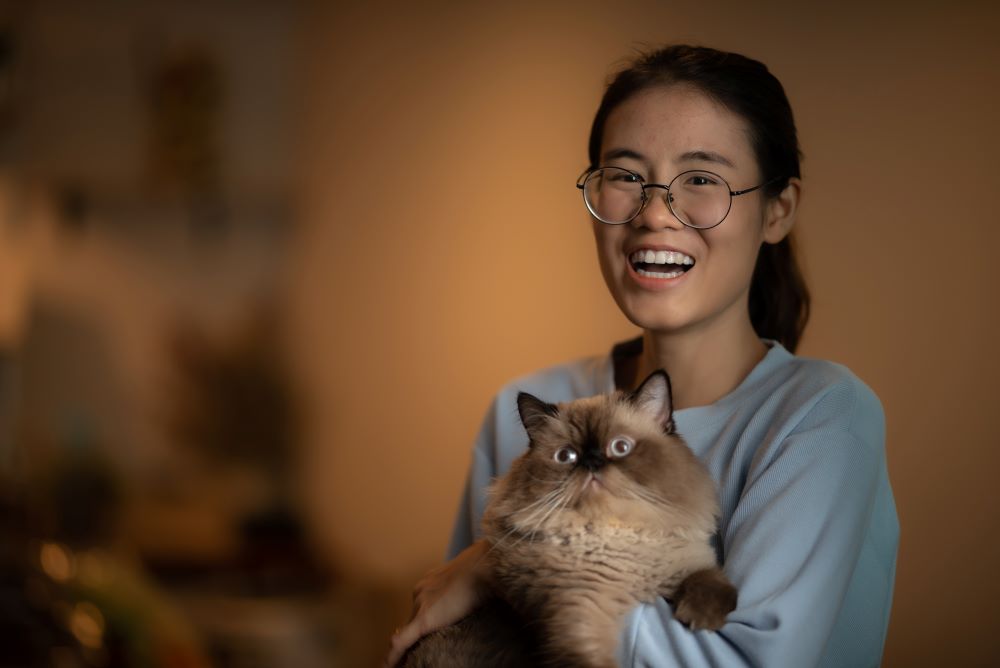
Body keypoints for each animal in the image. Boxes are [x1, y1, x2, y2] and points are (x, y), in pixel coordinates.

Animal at [402, 370, 740, 668]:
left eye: (620, 447)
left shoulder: (685, 565)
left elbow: (711, 581)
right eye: (566, 457)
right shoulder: (577, 614)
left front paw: (702, 617)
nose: (591, 462)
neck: (618, 541)